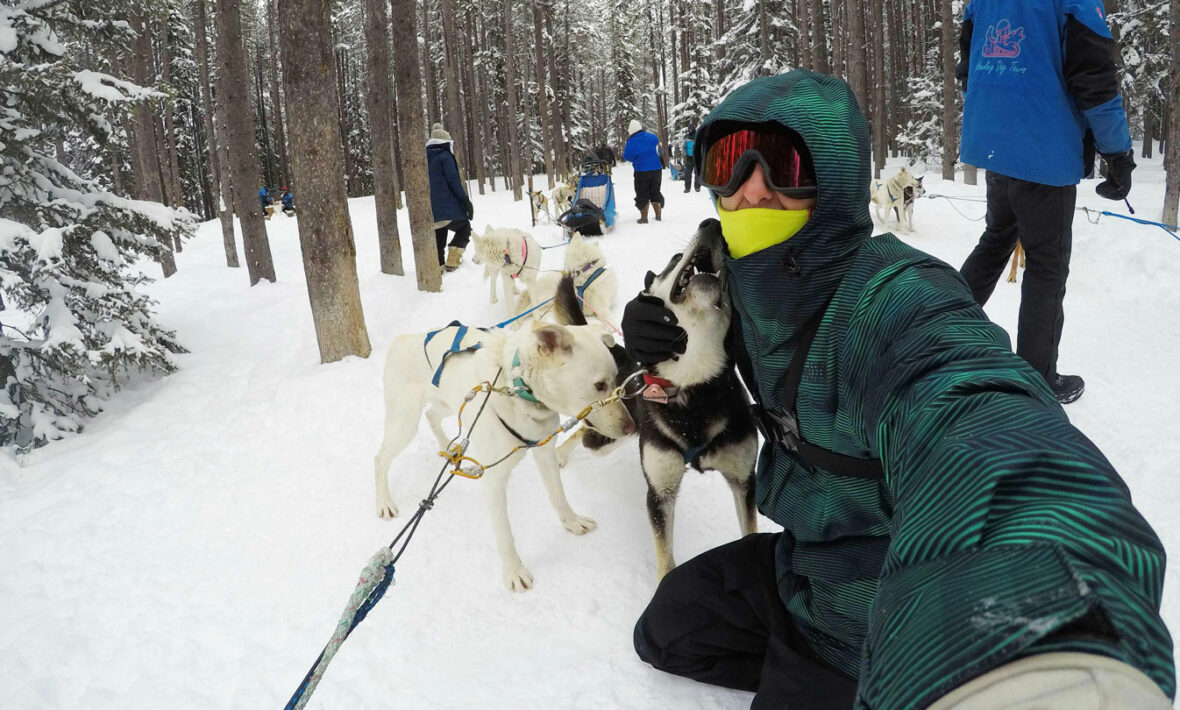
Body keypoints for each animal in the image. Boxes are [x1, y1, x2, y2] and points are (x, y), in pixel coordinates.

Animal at [375, 279, 637, 589]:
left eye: (617, 377)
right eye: (599, 385)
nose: (631, 426)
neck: (518, 387)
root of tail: (403, 339)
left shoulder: (545, 452)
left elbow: (558, 495)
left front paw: (571, 522)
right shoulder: (494, 481)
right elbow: (505, 534)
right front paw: (514, 572)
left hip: (449, 405)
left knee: (433, 417)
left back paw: (451, 450)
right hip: (404, 424)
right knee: (381, 458)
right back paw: (385, 502)